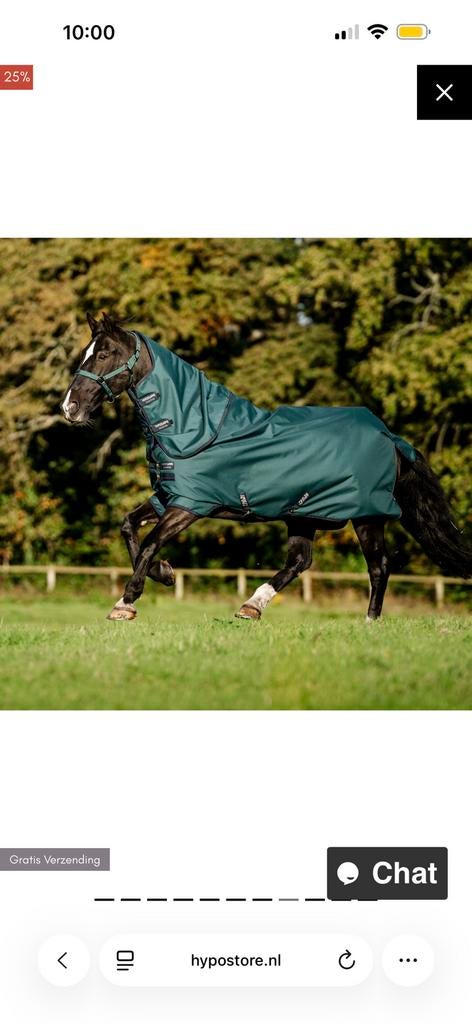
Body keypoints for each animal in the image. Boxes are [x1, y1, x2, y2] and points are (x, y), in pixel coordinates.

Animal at [61, 313, 472, 622]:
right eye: (86, 352)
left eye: (105, 353)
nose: (70, 407)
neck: (194, 427)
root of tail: (390, 437)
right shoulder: (167, 496)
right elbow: (128, 527)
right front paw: (164, 574)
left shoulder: (190, 505)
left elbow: (147, 543)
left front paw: (126, 602)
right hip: (304, 514)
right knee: (300, 561)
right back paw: (251, 607)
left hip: (367, 516)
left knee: (378, 566)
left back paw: (369, 622)